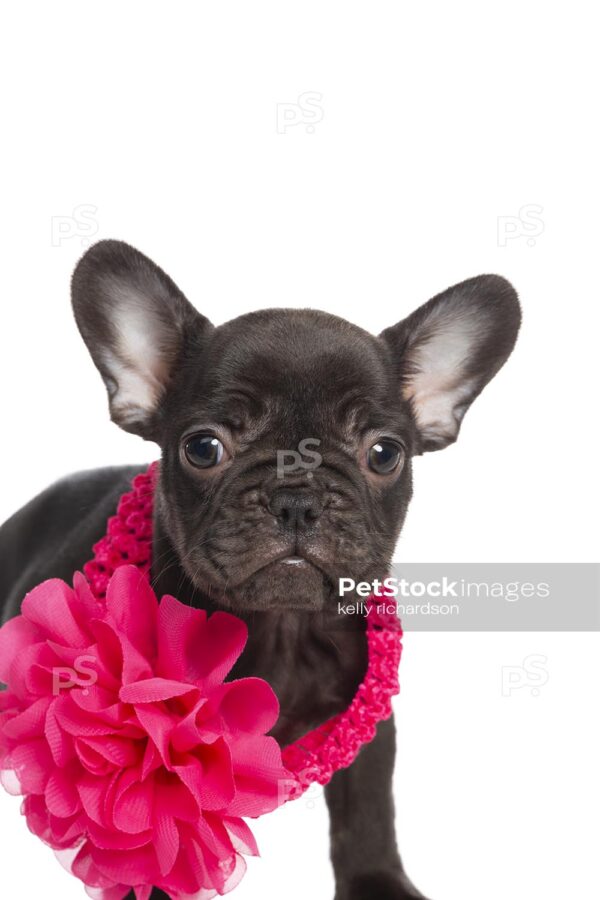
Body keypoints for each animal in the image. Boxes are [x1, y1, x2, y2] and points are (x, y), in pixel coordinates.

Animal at [0, 241, 520, 900]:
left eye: (384, 453)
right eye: (203, 448)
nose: (296, 497)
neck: (283, 628)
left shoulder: (371, 729)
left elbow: (368, 813)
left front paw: (378, 881)